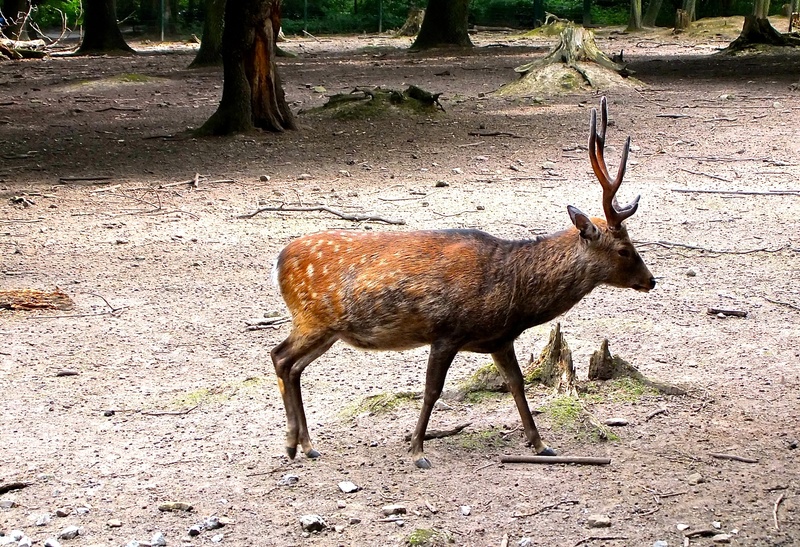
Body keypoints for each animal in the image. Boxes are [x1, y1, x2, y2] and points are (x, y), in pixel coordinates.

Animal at [270, 97, 655, 469]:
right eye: (624, 249)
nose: (651, 280)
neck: (513, 295)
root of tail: (278, 261)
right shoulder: (446, 331)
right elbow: (432, 390)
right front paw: (417, 451)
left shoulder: (499, 338)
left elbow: (517, 384)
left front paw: (541, 444)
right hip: (312, 318)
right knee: (279, 356)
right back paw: (292, 444)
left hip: (329, 329)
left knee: (293, 365)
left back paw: (307, 446)